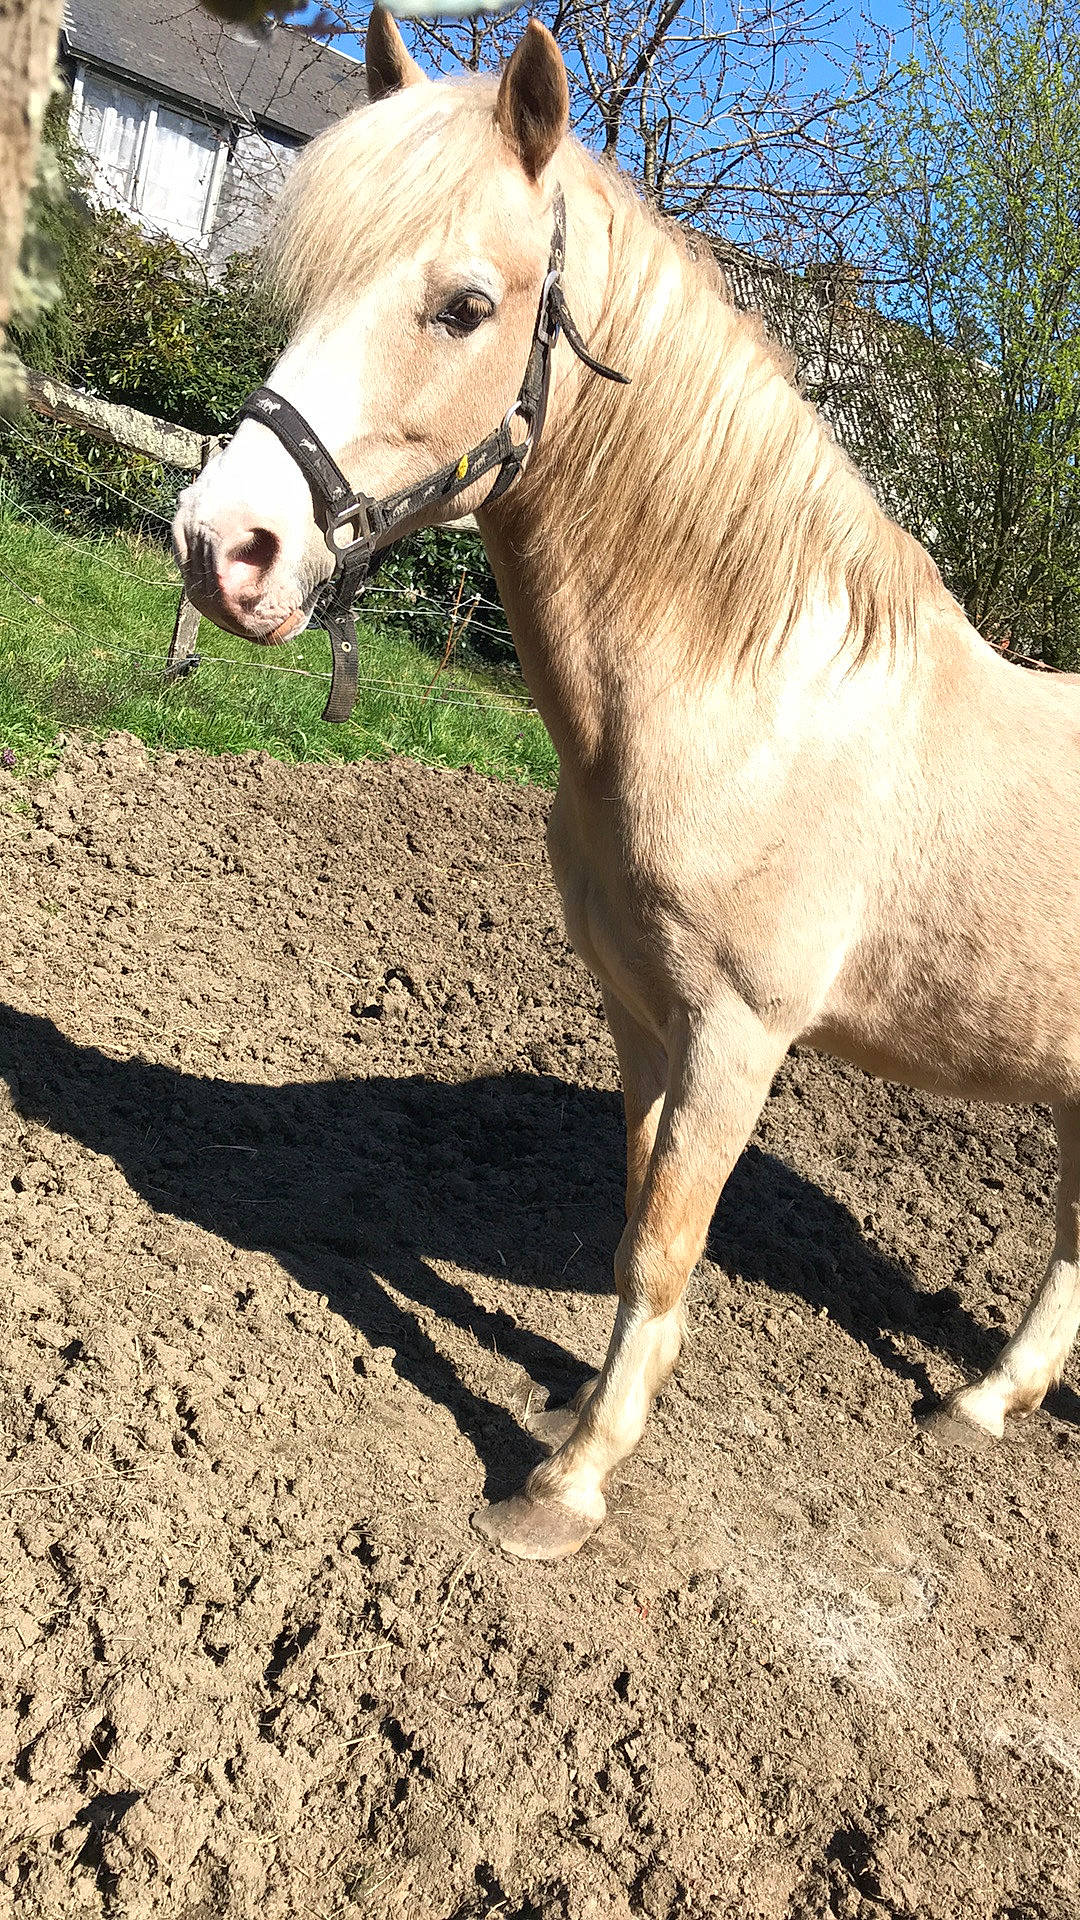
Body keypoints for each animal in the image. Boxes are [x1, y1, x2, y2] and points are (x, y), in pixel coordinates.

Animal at [173, 9, 1080, 1562]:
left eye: (465, 306)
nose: (221, 546)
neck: (752, 696)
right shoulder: (643, 1013)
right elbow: (632, 1220)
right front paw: (567, 1401)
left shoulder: (739, 1039)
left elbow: (664, 1247)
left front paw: (565, 1489)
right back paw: (979, 1404)